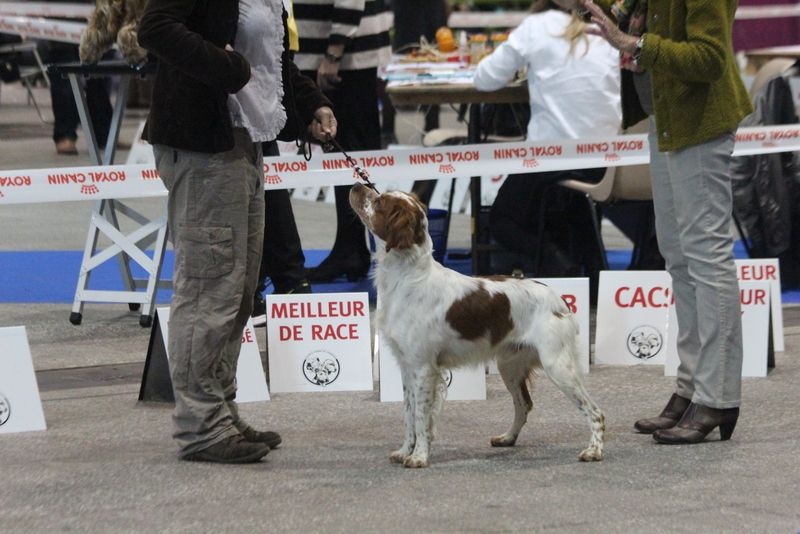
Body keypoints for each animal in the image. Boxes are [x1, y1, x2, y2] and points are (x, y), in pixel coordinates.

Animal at [349, 183, 605, 468]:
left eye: (379, 202)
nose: (357, 185)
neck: (407, 276)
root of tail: (559, 301)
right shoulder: (407, 367)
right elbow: (408, 415)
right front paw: (405, 450)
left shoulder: (424, 368)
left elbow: (421, 417)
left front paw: (419, 457)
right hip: (509, 365)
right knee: (523, 404)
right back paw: (507, 438)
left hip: (556, 365)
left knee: (595, 412)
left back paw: (594, 451)